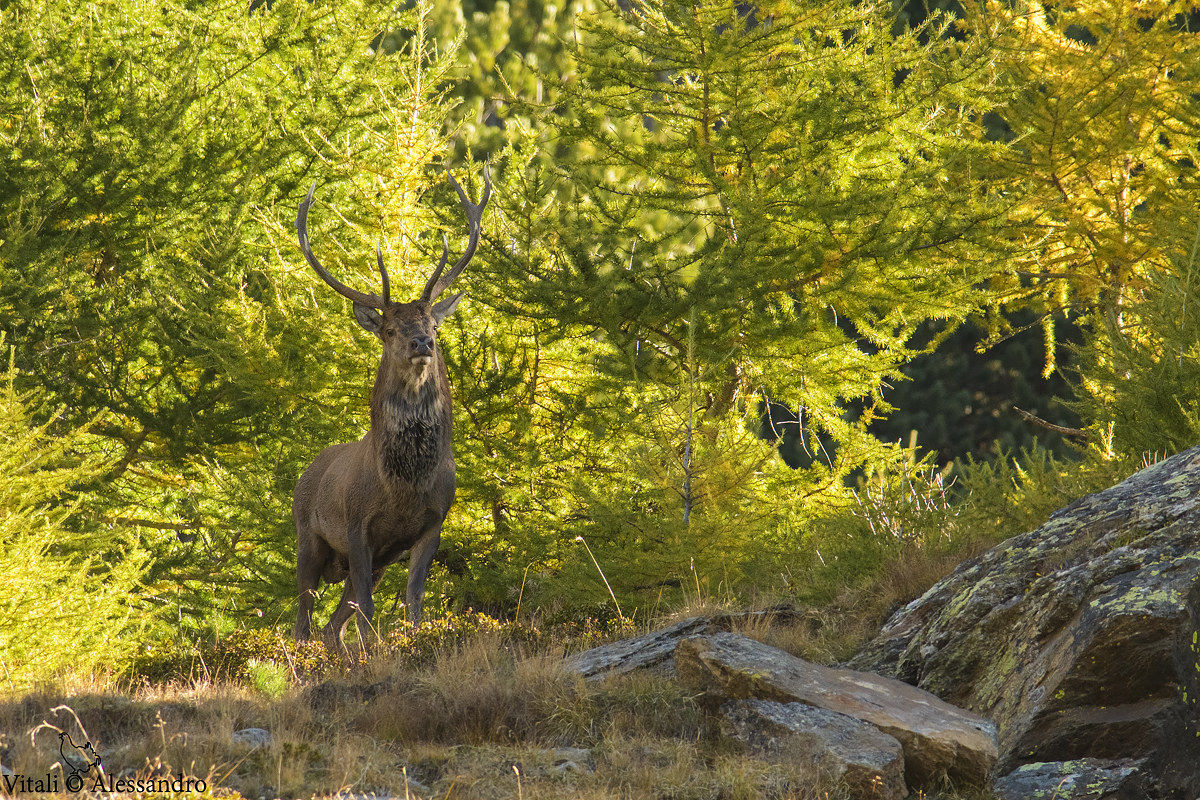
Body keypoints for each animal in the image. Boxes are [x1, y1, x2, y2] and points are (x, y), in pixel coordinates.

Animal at [292, 167, 491, 649]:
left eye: (433, 323)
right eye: (389, 329)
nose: (422, 343)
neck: (402, 485)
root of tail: (305, 472)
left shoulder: (432, 524)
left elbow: (412, 597)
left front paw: (411, 644)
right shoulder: (357, 525)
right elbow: (366, 605)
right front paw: (376, 652)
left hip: (367, 561)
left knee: (331, 627)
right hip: (308, 537)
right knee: (302, 619)